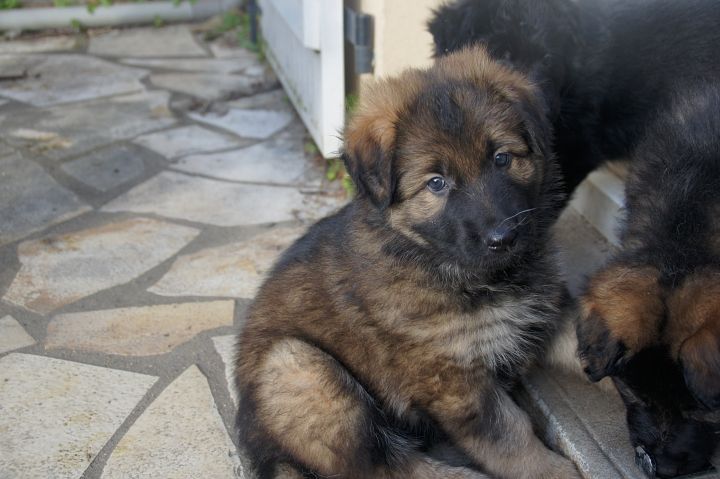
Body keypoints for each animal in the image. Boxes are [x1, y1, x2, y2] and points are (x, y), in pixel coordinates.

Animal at [234, 45, 581, 479]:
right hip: (298, 370)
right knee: (385, 467)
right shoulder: (451, 377)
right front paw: (553, 470)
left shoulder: (545, 315)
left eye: (502, 158)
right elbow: (510, 435)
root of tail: (262, 444)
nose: (503, 238)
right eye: (436, 183)